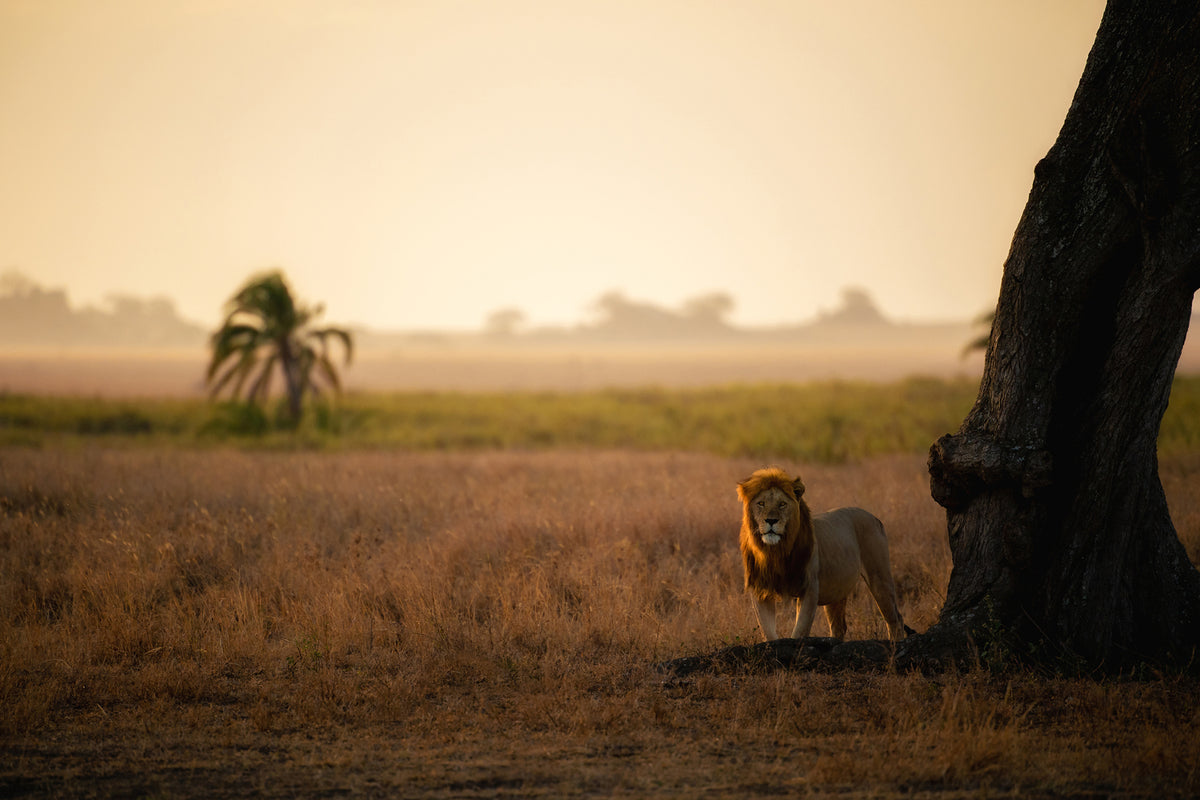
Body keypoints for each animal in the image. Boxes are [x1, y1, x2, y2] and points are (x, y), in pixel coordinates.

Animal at [729, 470, 907, 642]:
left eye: (782, 504)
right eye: (761, 503)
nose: (771, 520)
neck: (775, 551)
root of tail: (874, 516)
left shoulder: (810, 588)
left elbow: (800, 630)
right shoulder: (760, 590)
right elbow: (768, 632)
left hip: (879, 578)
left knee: (895, 619)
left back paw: (895, 647)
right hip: (837, 589)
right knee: (839, 627)